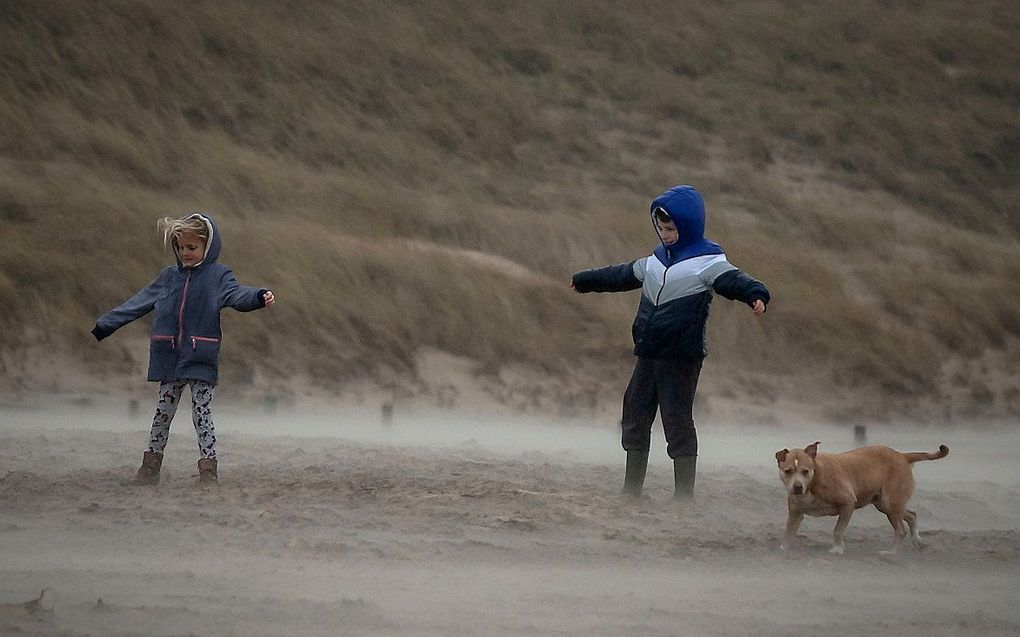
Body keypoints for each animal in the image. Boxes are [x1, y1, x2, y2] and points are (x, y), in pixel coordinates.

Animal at [779, 440, 946, 554]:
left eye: (805, 471)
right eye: (788, 471)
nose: (797, 486)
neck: (813, 482)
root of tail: (902, 456)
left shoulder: (847, 504)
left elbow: (838, 529)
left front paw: (837, 549)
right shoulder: (795, 514)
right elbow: (788, 531)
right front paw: (785, 548)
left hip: (890, 503)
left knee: (901, 531)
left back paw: (890, 553)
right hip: (885, 504)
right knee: (912, 515)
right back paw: (918, 541)